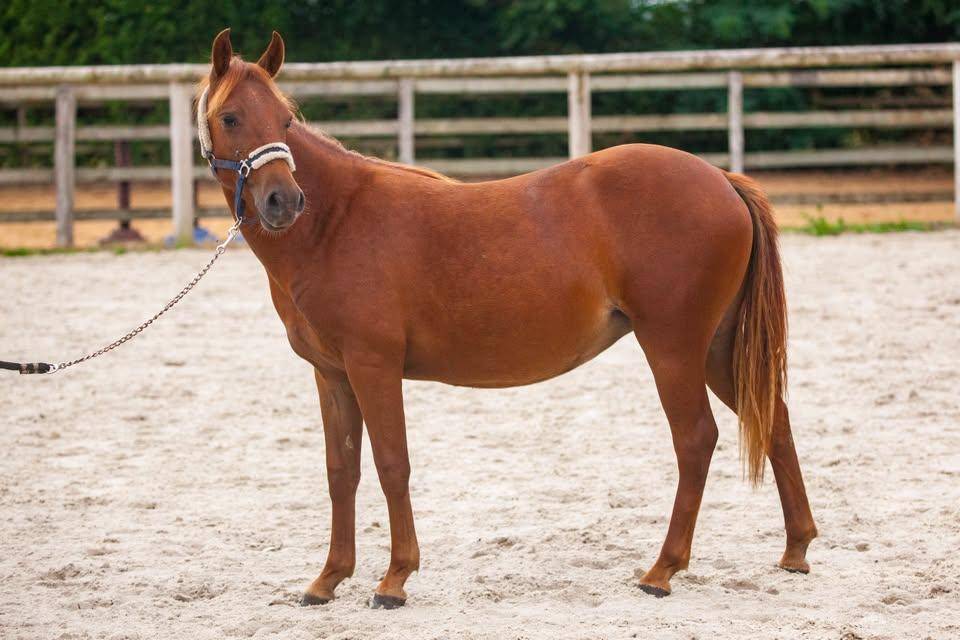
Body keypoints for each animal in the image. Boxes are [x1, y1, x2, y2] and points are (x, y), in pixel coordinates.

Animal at [199, 29, 817, 608]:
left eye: (285, 118)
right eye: (231, 117)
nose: (284, 202)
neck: (337, 221)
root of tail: (721, 180)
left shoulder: (374, 367)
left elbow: (392, 463)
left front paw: (395, 579)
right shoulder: (332, 376)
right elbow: (341, 471)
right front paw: (328, 579)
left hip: (673, 348)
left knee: (695, 439)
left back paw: (662, 570)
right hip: (716, 347)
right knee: (775, 420)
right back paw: (795, 549)